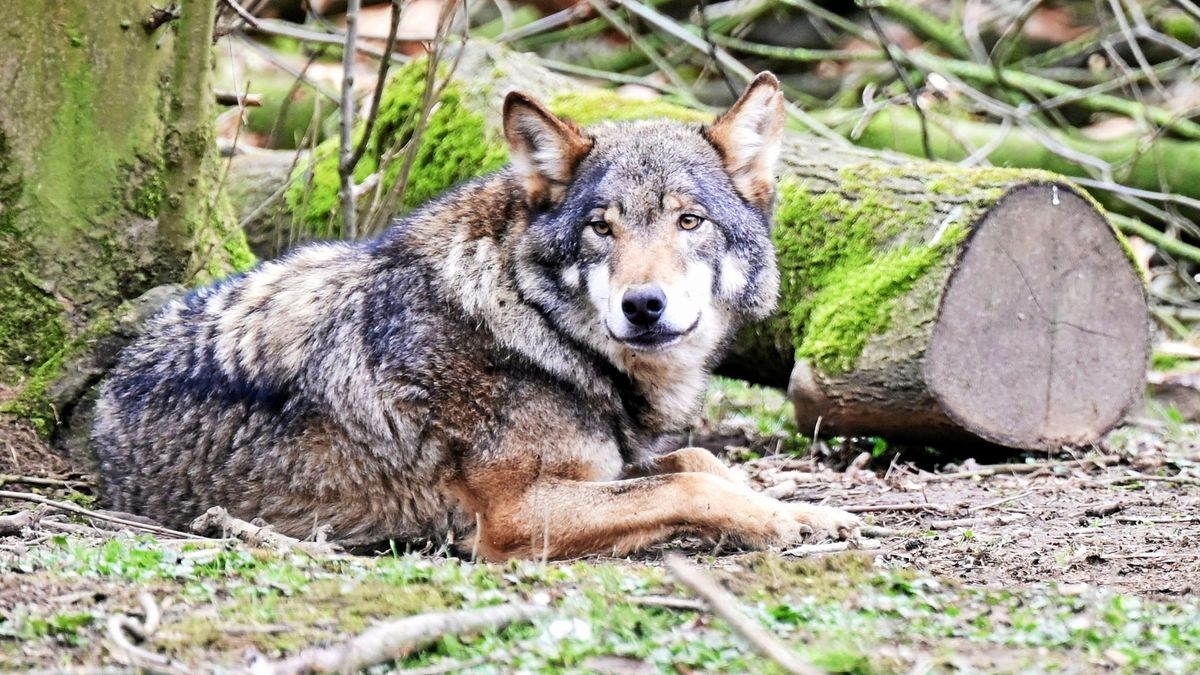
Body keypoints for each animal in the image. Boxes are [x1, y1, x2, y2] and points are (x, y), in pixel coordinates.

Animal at [96, 73, 864, 557]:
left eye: (690, 220)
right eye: (602, 228)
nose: (643, 306)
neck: (537, 327)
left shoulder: (608, 464)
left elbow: (702, 461)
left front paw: (806, 509)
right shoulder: (515, 515)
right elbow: (689, 483)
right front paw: (778, 520)